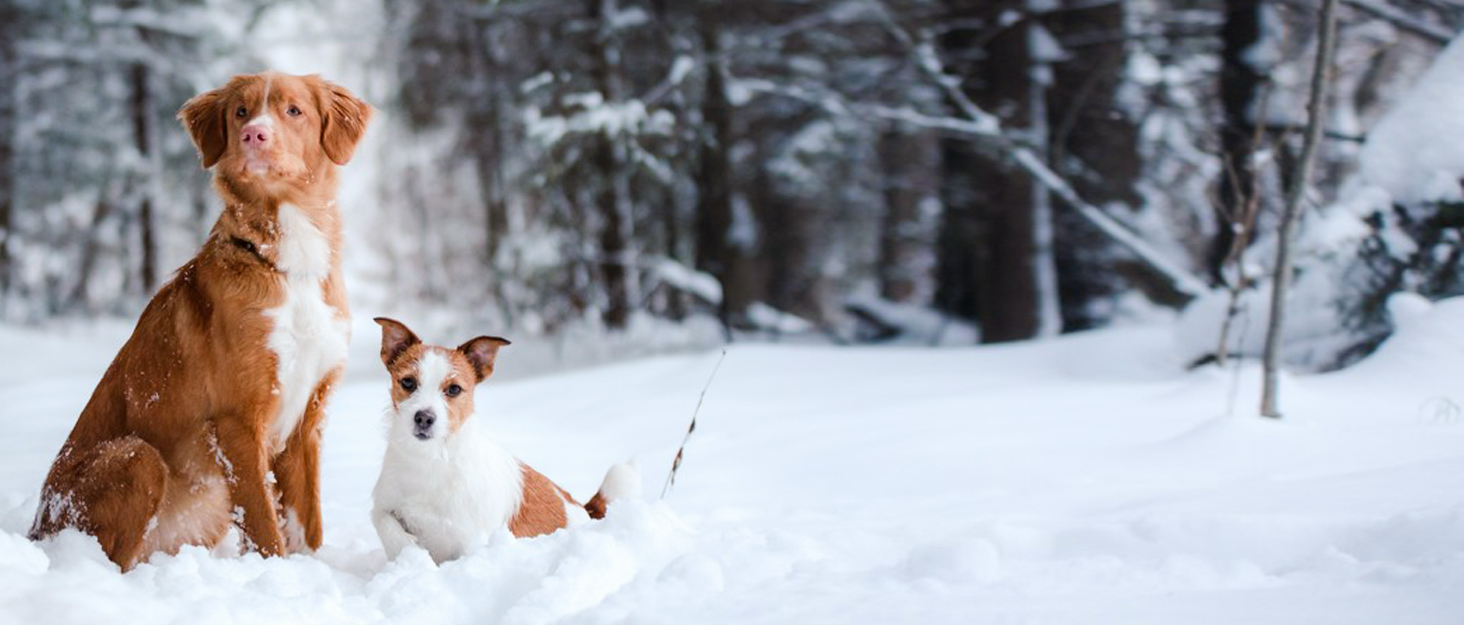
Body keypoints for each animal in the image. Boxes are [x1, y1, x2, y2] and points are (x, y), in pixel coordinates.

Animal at [27, 73, 371, 573]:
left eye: (294, 111)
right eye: (241, 112)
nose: (254, 136)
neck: (288, 263)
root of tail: (36, 528)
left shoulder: (309, 417)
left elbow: (306, 526)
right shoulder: (237, 421)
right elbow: (265, 527)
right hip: (137, 457)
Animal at [368, 320, 638, 564]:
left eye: (454, 389)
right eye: (408, 382)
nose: (424, 418)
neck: (431, 459)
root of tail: (585, 510)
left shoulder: (472, 540)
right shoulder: (384, 503)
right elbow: (384, 522)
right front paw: (409, 551)